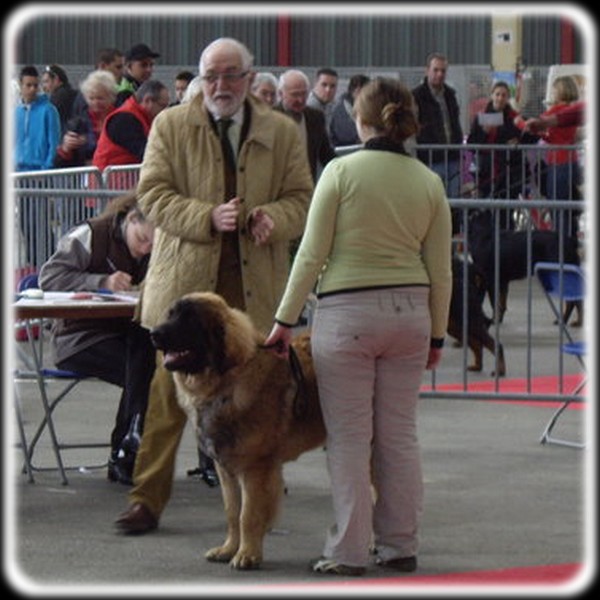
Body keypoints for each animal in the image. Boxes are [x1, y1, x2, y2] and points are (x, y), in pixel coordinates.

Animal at [152, 292, 326, 568]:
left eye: (189, 320)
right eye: (171, 314)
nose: (154, 334)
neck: (225, 382)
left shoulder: (256, 468)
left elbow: (248, 515)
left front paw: (247, 554)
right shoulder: (225, 468)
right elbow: (232, 512)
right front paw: (228, 549)